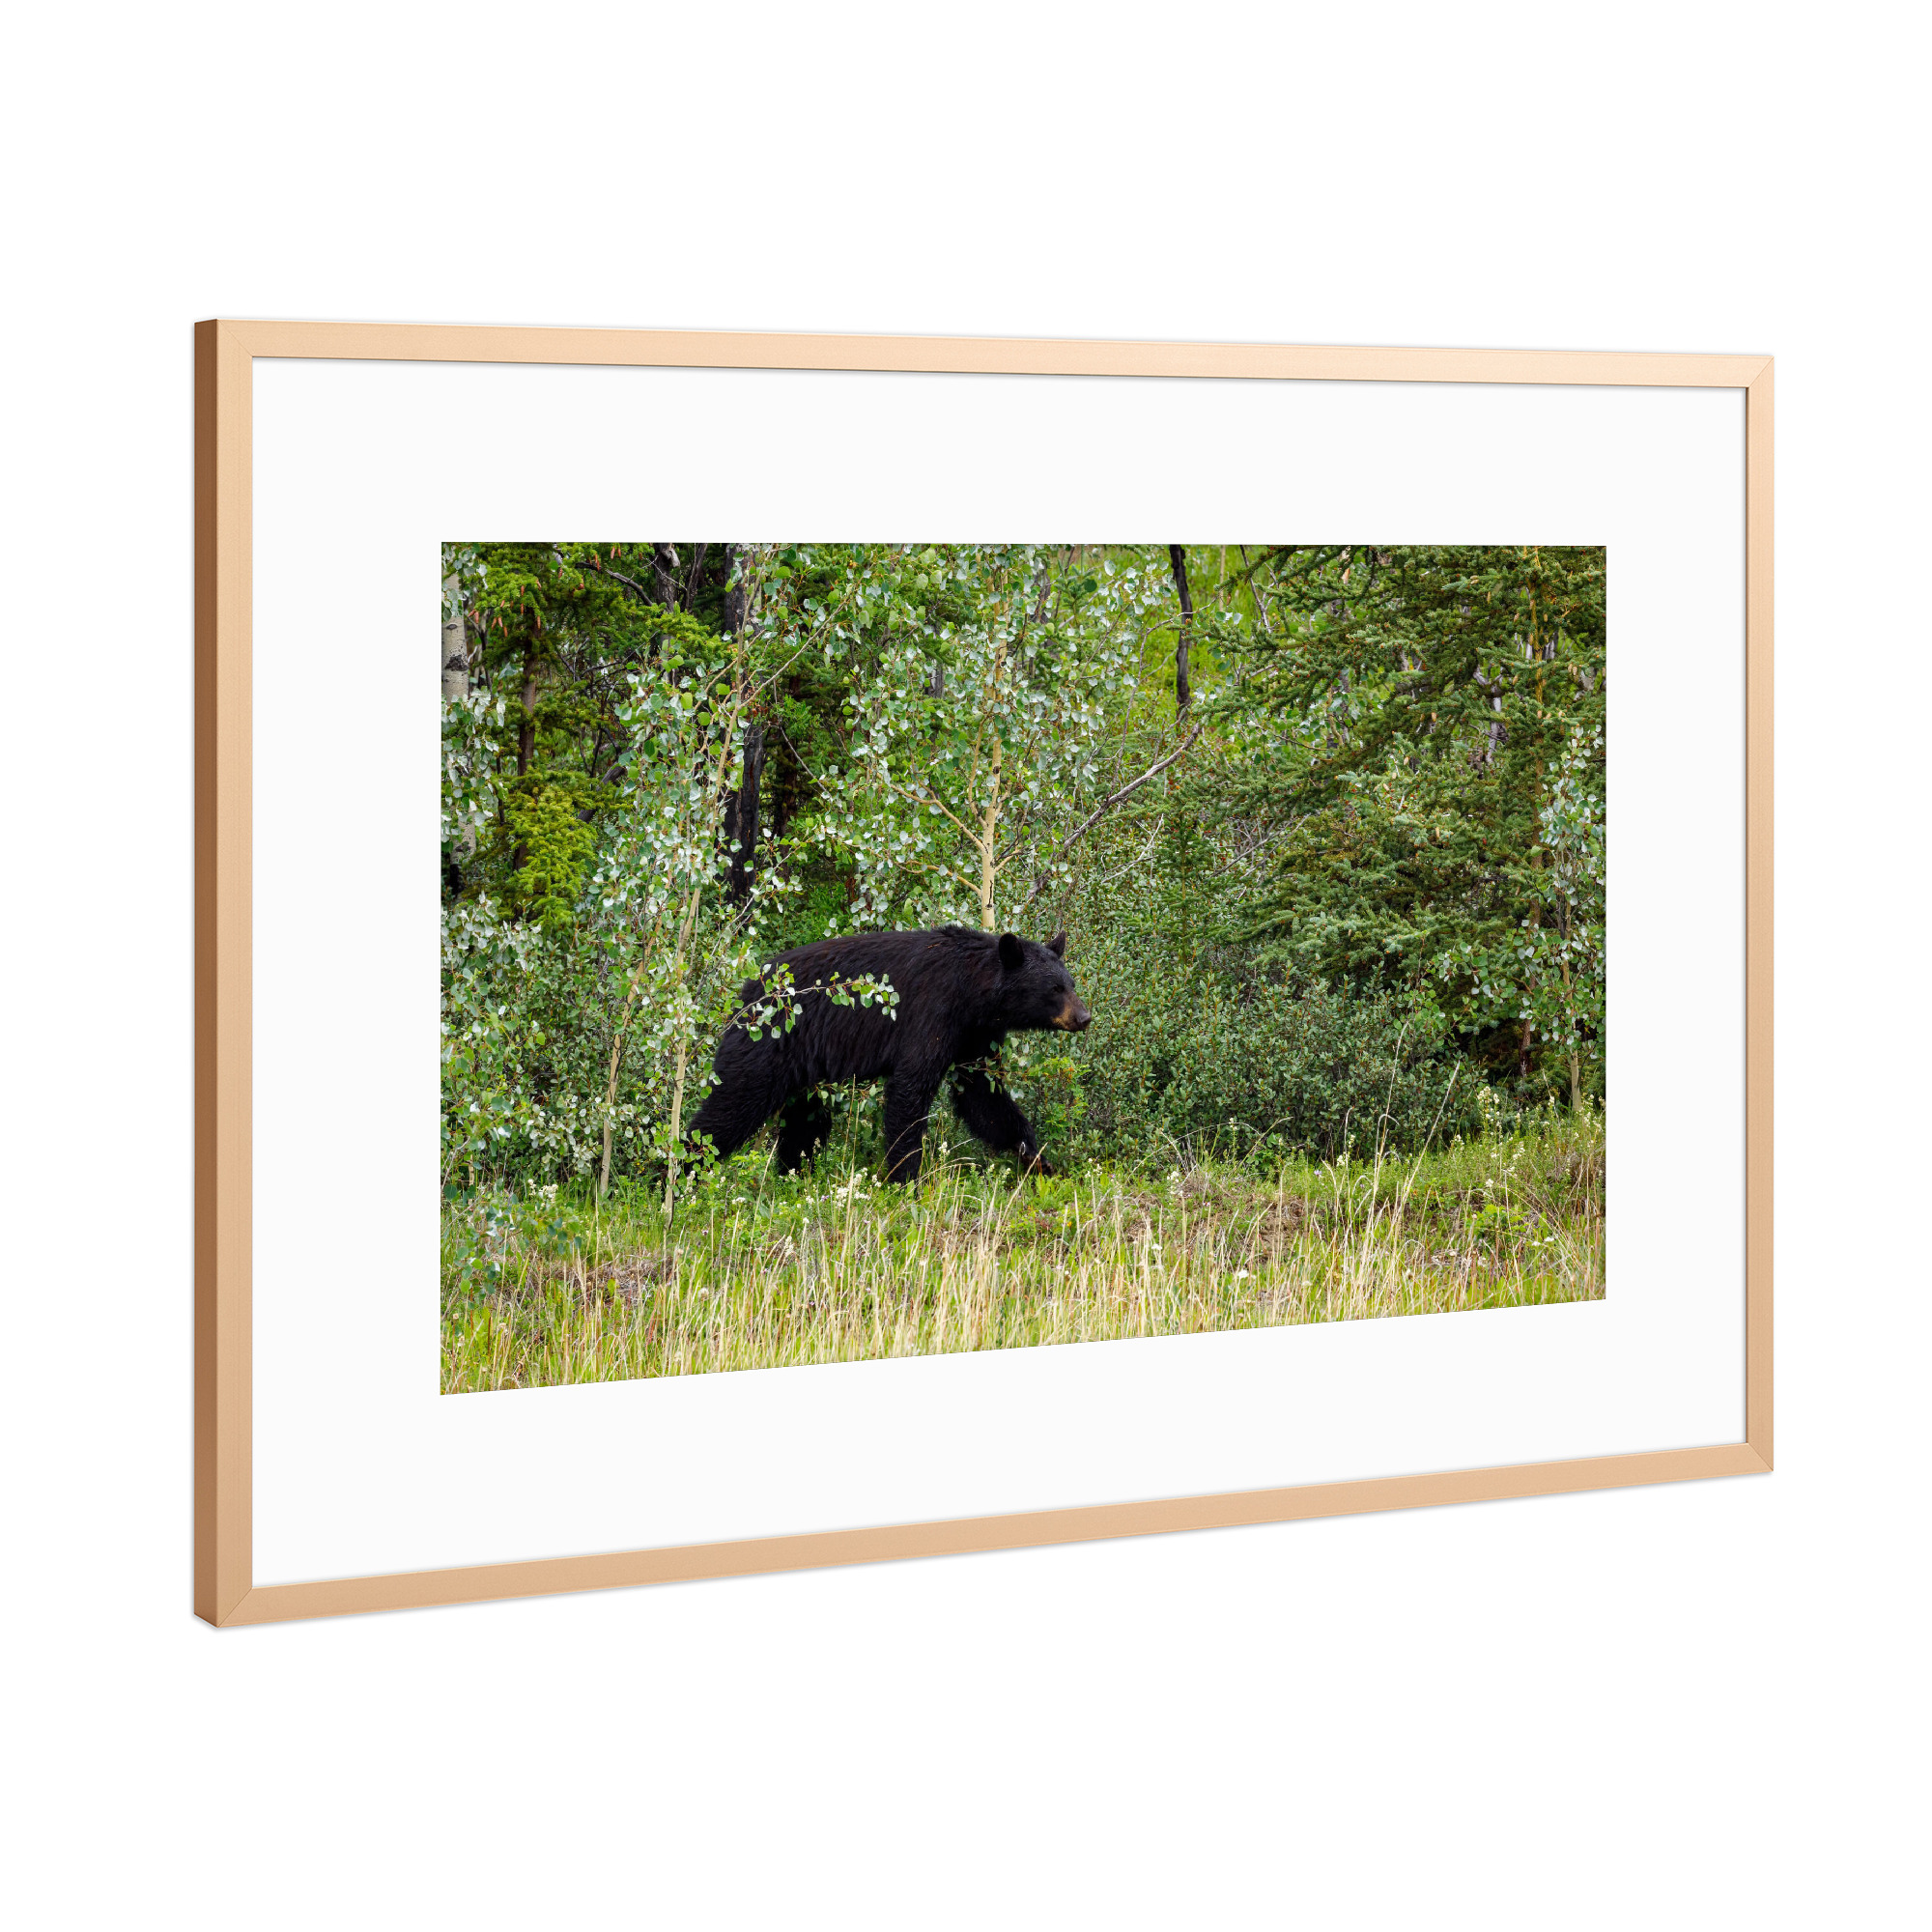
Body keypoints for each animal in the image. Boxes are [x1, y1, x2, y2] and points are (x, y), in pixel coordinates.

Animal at [685, 926, 1091, 1184]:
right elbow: (911, 1089)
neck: (972, 992)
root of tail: (744, 994)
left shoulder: (975, 1034)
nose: (1084, 1017)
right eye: (1054, 989)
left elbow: (981, 1094)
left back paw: (795, 1177)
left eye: (1071, 984)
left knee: (804, 1124)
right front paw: (906, 1177)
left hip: (805, 1072)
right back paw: (680, 1174)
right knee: (728, 1110)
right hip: (764, 1046)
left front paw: (1036, 1158)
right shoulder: (932, 1012)